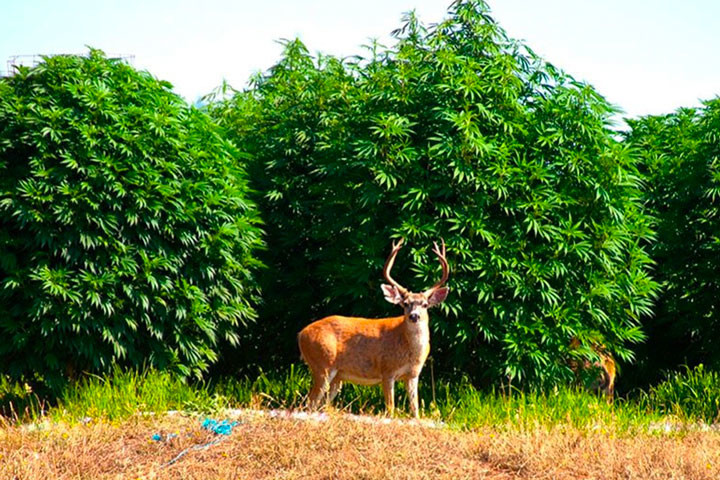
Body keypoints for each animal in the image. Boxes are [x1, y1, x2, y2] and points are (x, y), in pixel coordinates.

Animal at [296, 238, 448, 418]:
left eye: (424, 304)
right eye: (405, 304)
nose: (414, 316)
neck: (408, 347)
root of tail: (301, 334)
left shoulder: (413, 374)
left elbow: (415, 409)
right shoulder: (387, 371)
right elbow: (390, 408)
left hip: (336, 376)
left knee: (320, 404)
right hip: (322, 363)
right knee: (309, 402)